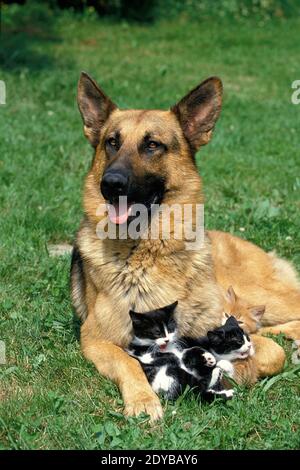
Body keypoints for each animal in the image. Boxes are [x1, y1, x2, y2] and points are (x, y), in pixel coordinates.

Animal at [71, 72, 300, 418]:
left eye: (152, 145)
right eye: (112, 142)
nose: (110, 184)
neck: (148, 251)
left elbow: (273, 354)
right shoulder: (96, 339)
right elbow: (128, 363)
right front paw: (143, 400)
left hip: (266, 296)